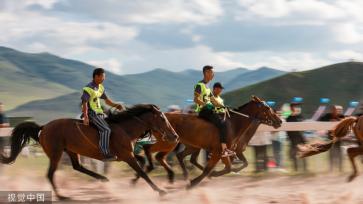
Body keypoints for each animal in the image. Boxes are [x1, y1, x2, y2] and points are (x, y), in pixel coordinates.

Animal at [0, 104, 179, 200]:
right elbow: (142, 171)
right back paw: (62, 196)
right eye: (163, 118)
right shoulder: (126, 155)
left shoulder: (127, 155)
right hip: (56, 154)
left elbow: (141, 166)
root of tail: (43, 127)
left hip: (71, 151)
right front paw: (160, 191)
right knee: (50, 174)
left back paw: (102, 178)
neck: (125, 129)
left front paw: (132, 183)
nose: (175, 136)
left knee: (77, 167)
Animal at [132, 96, 282, 186]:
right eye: (267, 108)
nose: (280, 121)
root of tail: (162, 115)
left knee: (170, 156)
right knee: (150, 150)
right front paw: (204, 177)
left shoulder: (227, 152)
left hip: (186, 145)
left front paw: (214, 173)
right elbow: (221, 168)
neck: (233, 124)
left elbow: (234, 166)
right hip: (169, 142)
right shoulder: (221, 151)